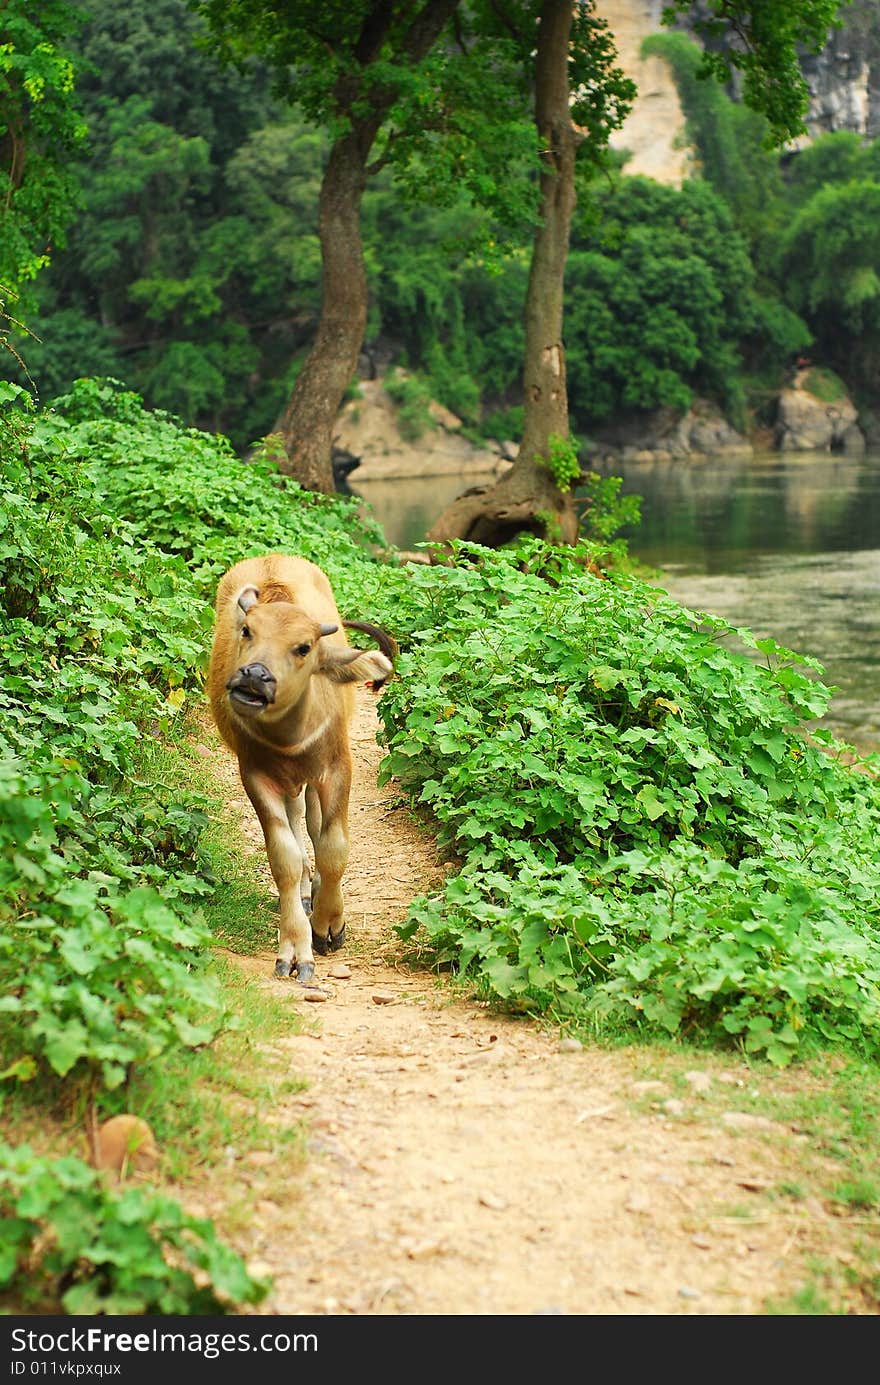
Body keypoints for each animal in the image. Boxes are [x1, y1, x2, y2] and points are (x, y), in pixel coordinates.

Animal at [207, 551, 393, 986]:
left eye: (304, 647)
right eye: (247, 630)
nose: (255, 675)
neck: (289, 738)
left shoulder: (337, 769)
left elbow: (333, 846)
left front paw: (329, 924)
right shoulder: (256, 776)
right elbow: (285, 859)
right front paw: (296, 947)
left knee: (313, 820)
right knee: (297, 822)